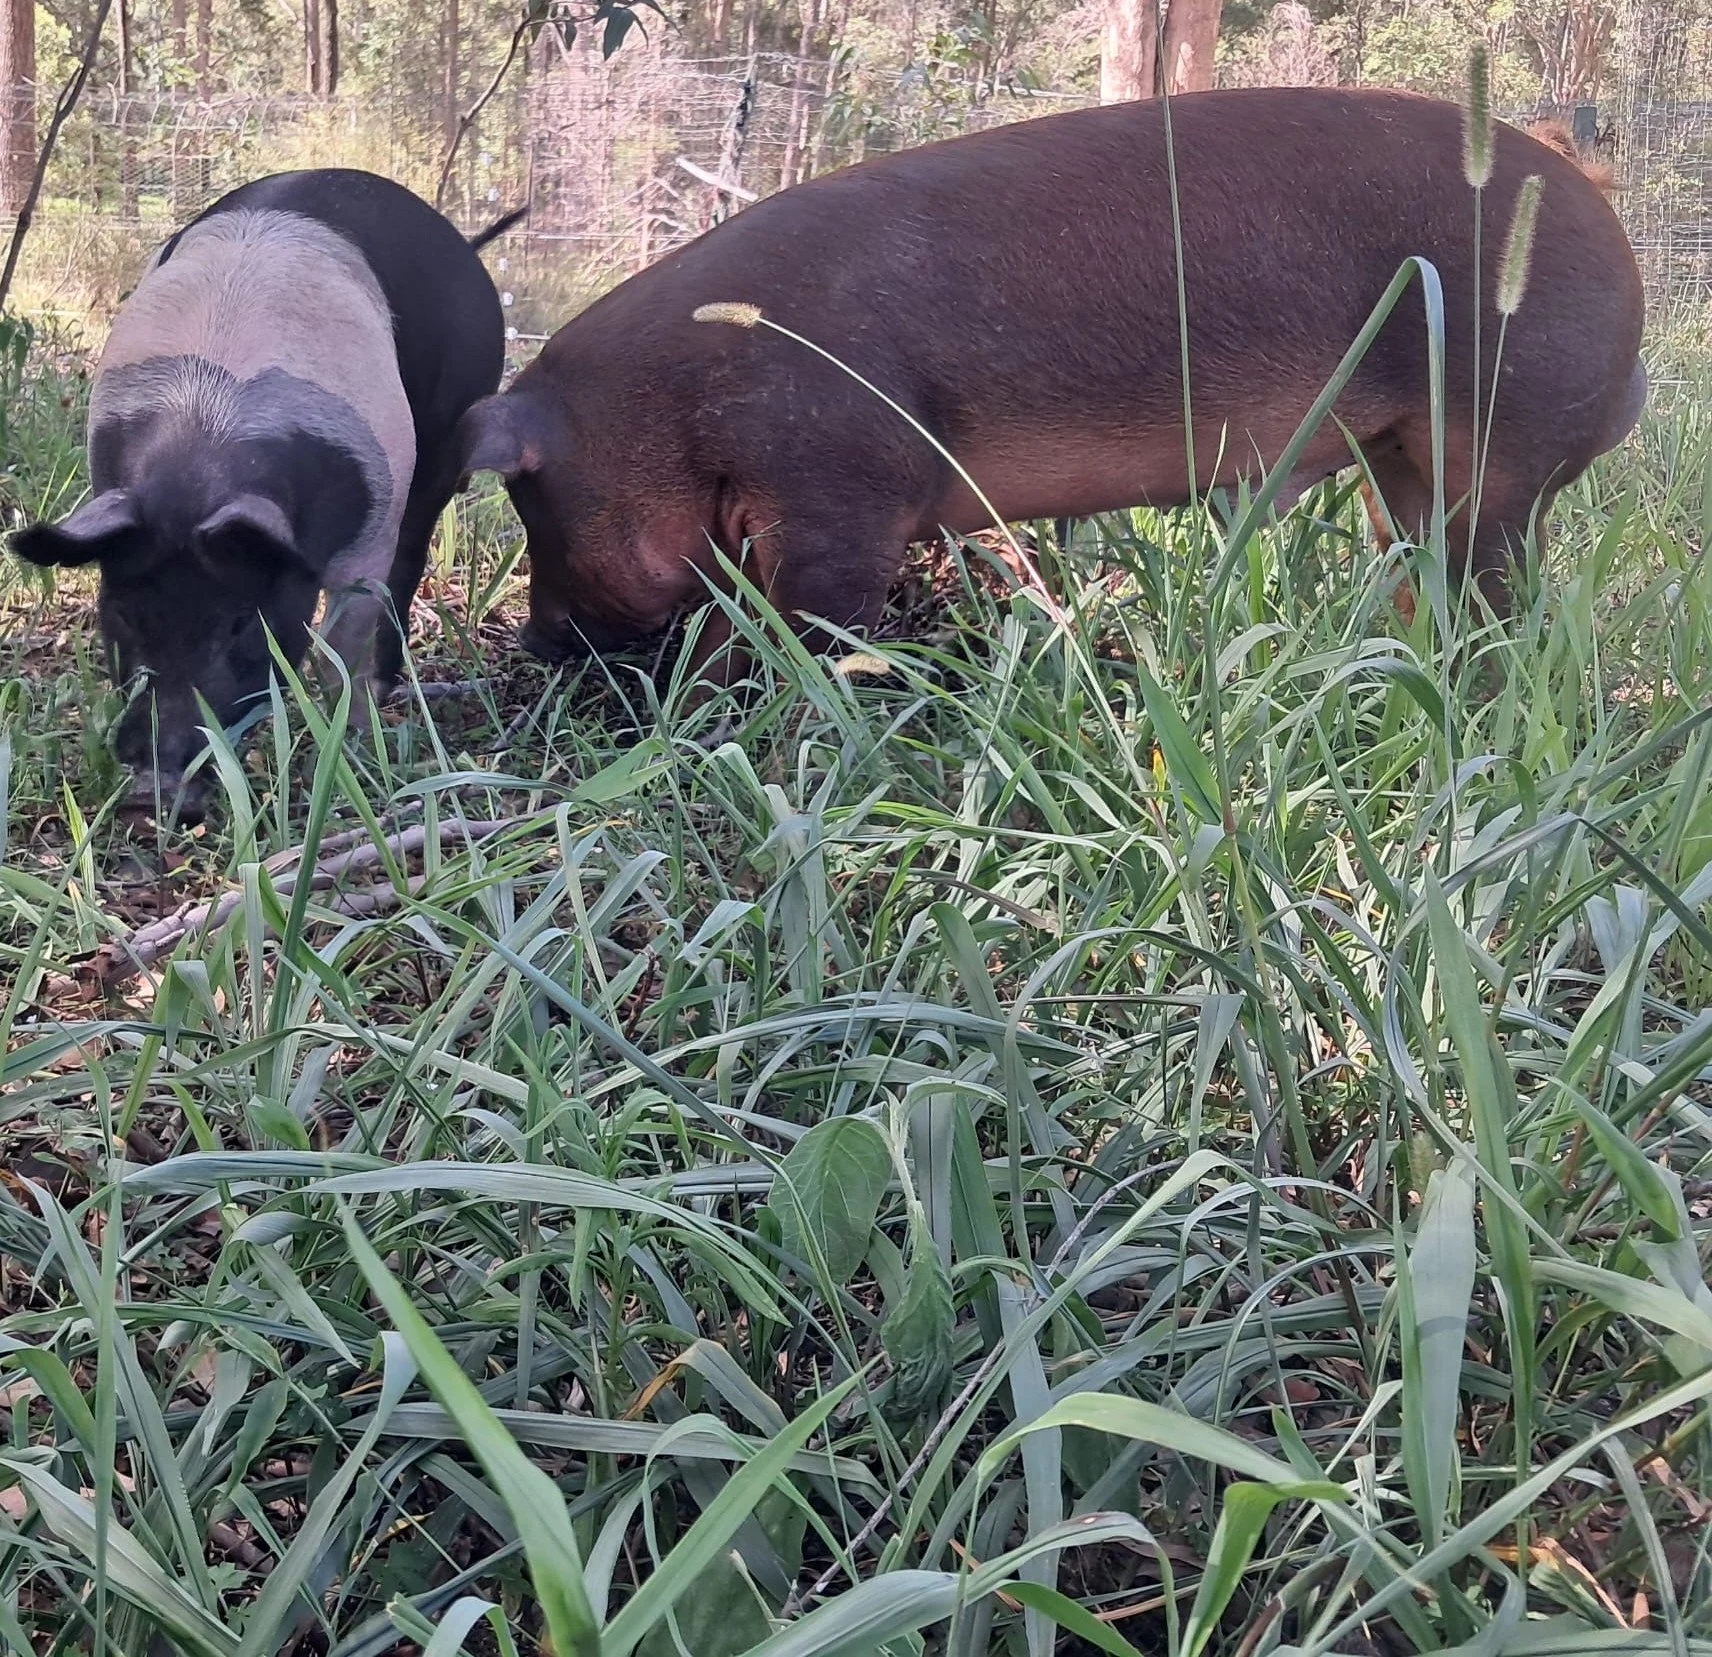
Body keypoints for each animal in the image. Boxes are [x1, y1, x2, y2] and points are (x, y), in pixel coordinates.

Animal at [10, 168, 522, 819]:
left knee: (413, 552)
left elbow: (342, 645)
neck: (202, 442)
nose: (157, 789)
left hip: (449, 432)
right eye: (122, 612)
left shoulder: (370, 528)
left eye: (240, 624)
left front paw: (354, 749)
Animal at [456, 87, 1645, 684]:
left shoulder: (841, 489)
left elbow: (809, 624)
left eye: (532, 504)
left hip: (1505, 443)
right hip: (1398, 456)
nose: (535, 642)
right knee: (1418, 561)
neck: (669, 404)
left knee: (1495, 590)